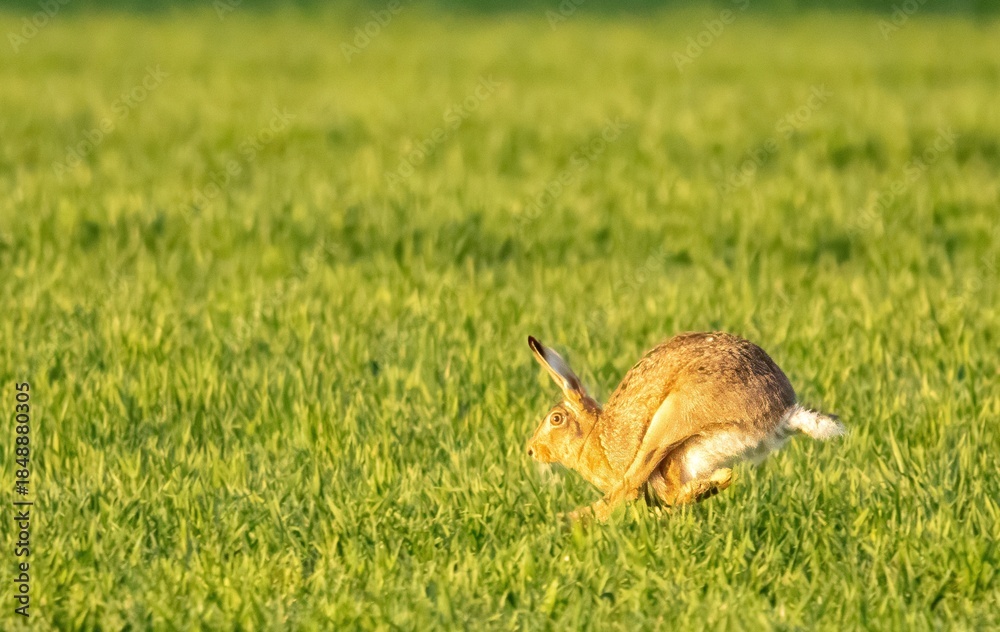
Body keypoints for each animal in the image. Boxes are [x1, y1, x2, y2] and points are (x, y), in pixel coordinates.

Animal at [525, 332, 844, 521]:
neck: (594, 435)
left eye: (556, 419)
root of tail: (784, 410)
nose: (530, 451)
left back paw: (569, 520)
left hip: (671, 419)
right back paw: (711, 485)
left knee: (630, 487)